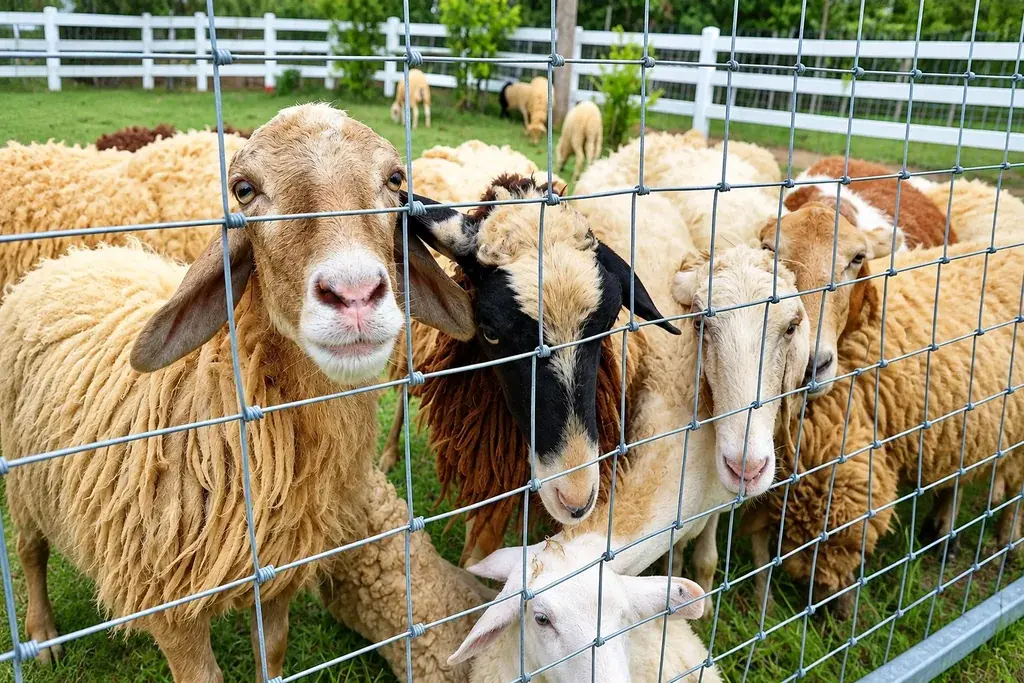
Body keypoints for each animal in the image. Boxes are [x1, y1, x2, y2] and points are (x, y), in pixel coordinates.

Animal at [742, 205, 1024, 619]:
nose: (810, 366)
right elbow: (764, 548)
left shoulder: (842, 470)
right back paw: (944, 535)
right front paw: (767, 608)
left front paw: (839, 612)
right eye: (768, 250)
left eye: (858, 258)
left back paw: (1006, 541)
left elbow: (834, 552)